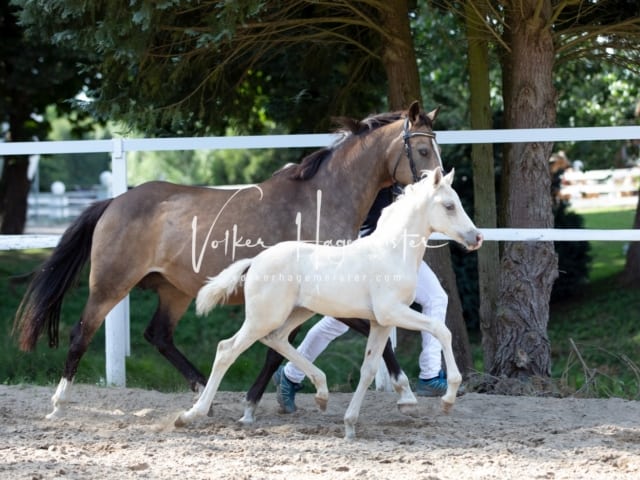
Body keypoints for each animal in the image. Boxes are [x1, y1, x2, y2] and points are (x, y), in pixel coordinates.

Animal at [175, 168, 480, 438]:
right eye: (449, 206)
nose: (476, 237)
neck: (392, 252)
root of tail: (255, 261)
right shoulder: (392, 312)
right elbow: (441, 330)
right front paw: (449, 398)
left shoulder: (381, 323)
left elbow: (369, 369)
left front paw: (350, 426)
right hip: (263, 317)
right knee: (227, 350)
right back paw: (190, 415)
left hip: (297, 312)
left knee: (277, 339)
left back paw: (321, 392)